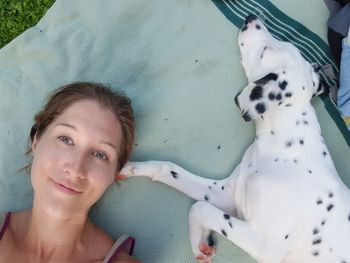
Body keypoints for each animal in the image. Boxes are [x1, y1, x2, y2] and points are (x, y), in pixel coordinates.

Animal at [119, 15, 350, 262]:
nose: (251, 17)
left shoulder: (264, 244)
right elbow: (169, 169)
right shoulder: (228, 196)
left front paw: (198, 242)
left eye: (266, 49)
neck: (282, 150)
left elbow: (200, 207)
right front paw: (129, 167)